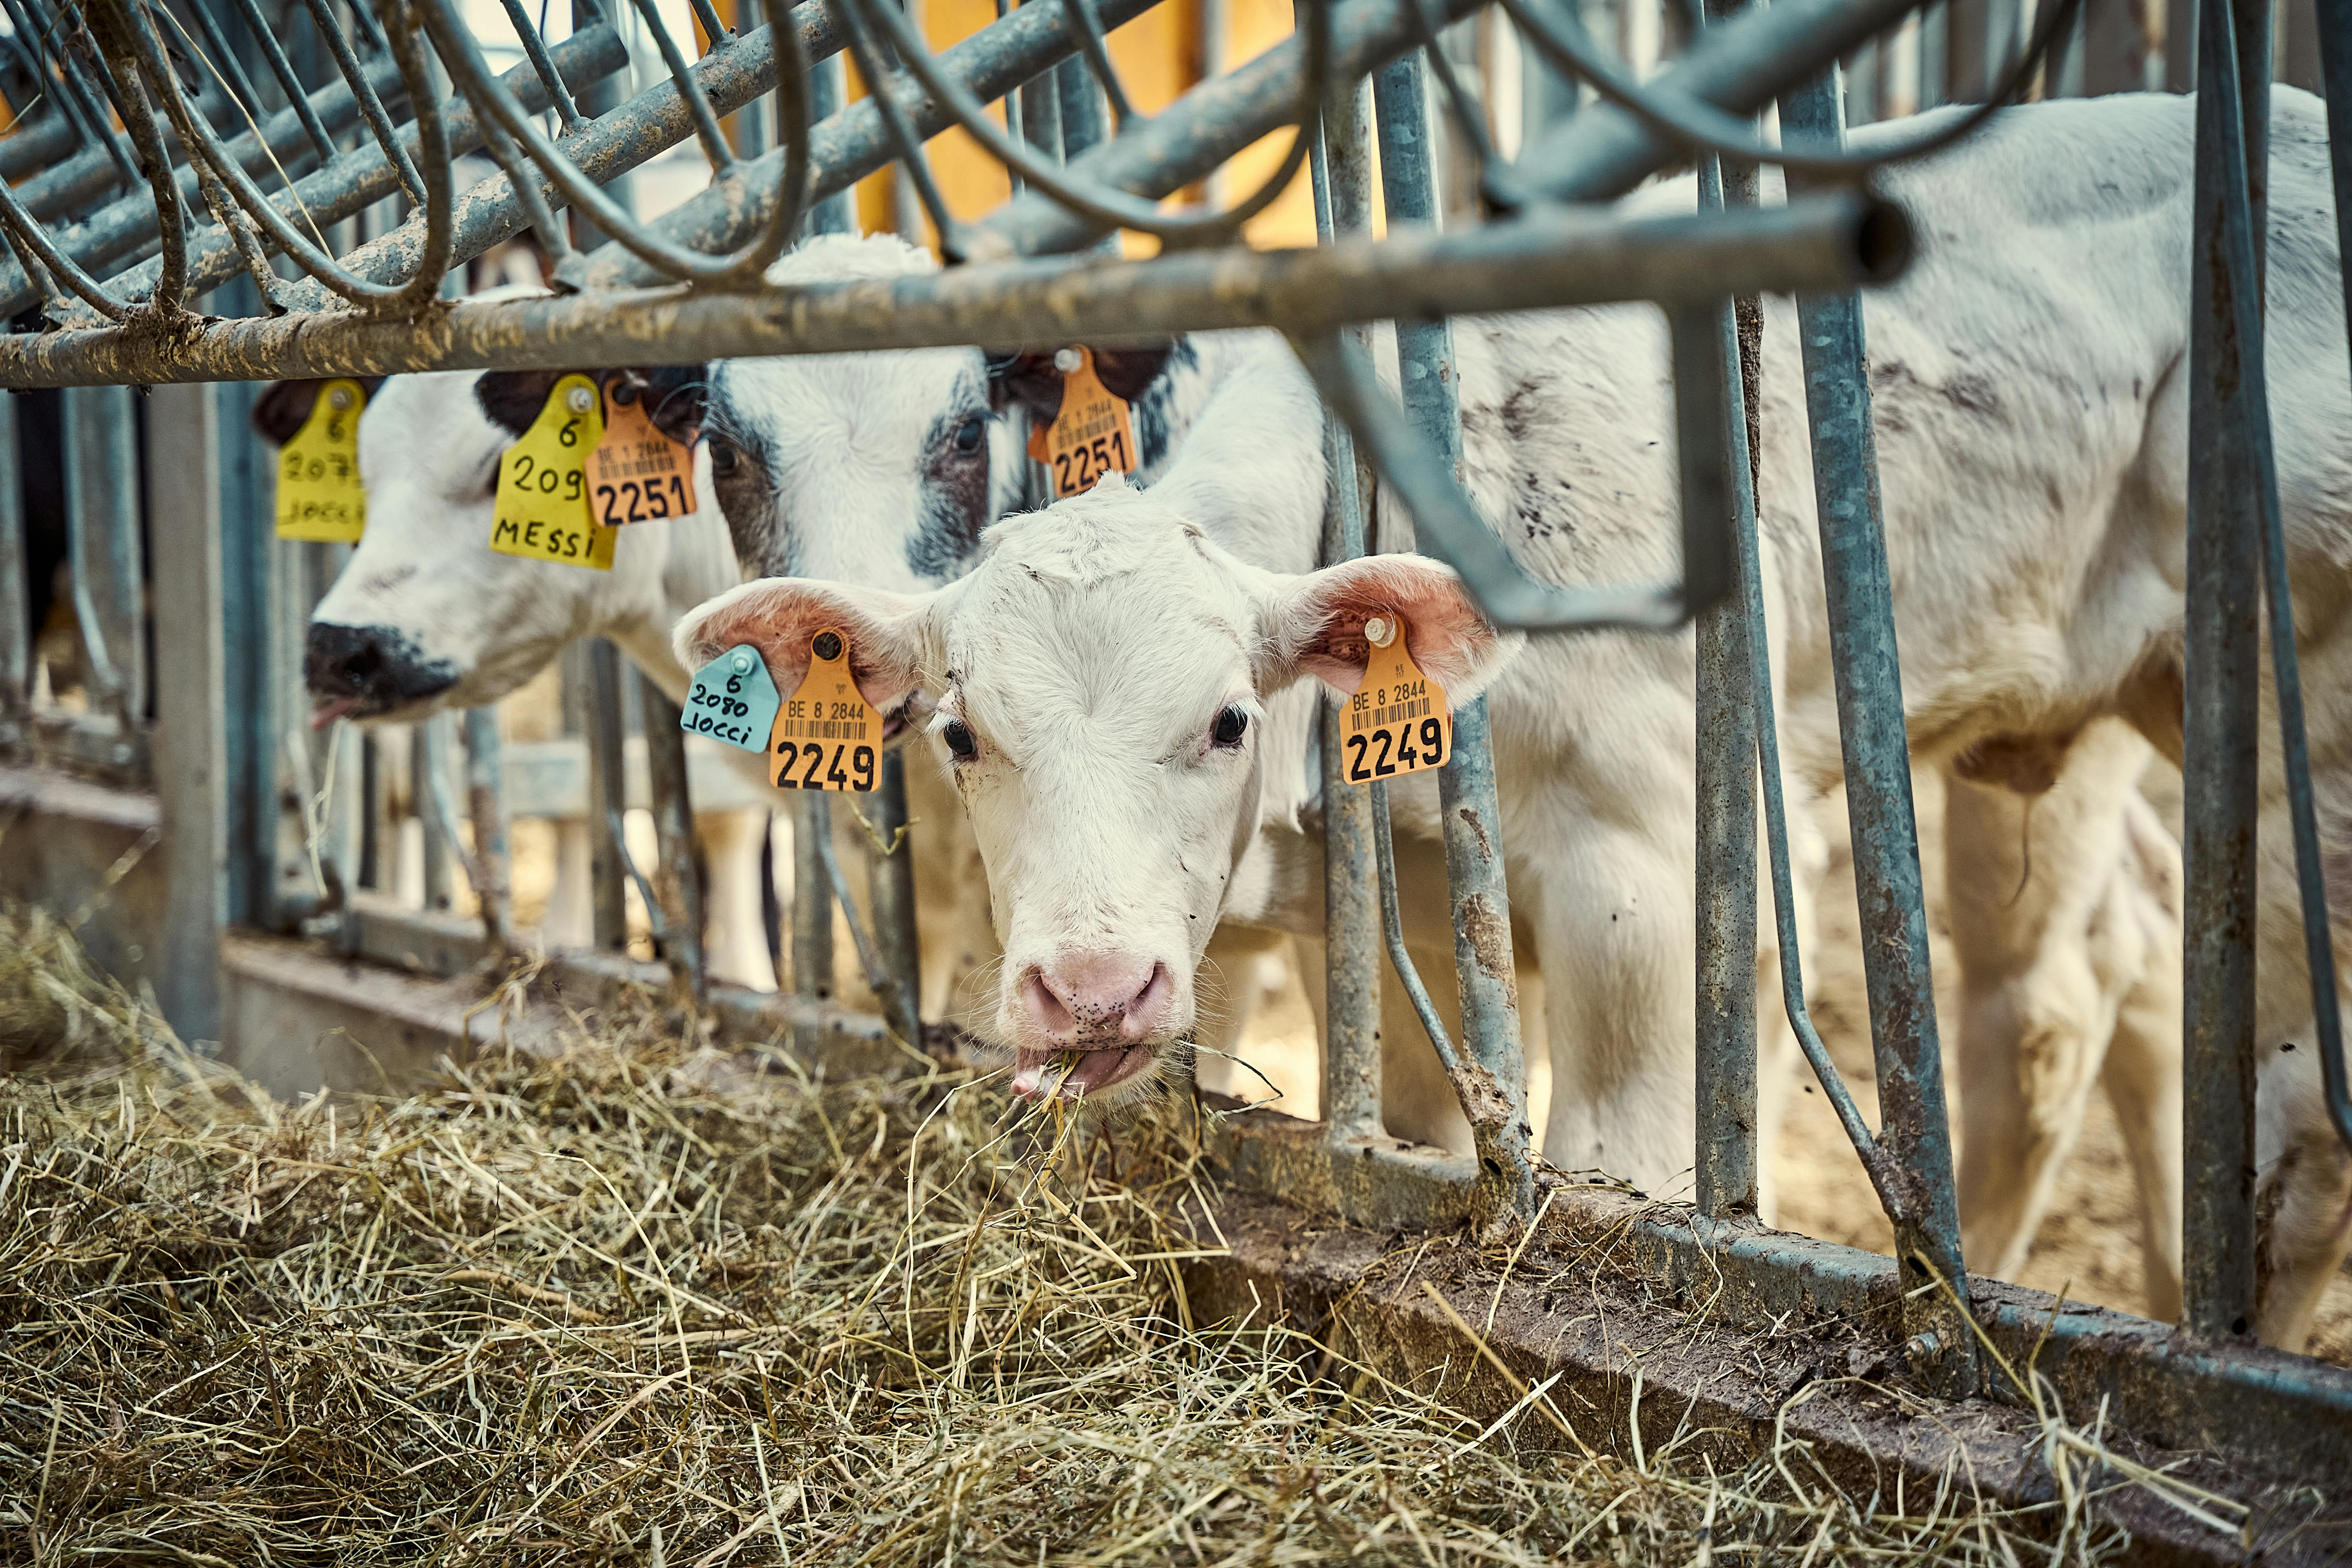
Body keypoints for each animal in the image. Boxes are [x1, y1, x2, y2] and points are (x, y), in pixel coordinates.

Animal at [679, 89, 2352, 1347]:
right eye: (963, 737)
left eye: (1225, 722)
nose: (1091, 987)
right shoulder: (1420, 906)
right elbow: (1423, 1135)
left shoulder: (1640, 883)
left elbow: (1621, 1167)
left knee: (2254, 1106)